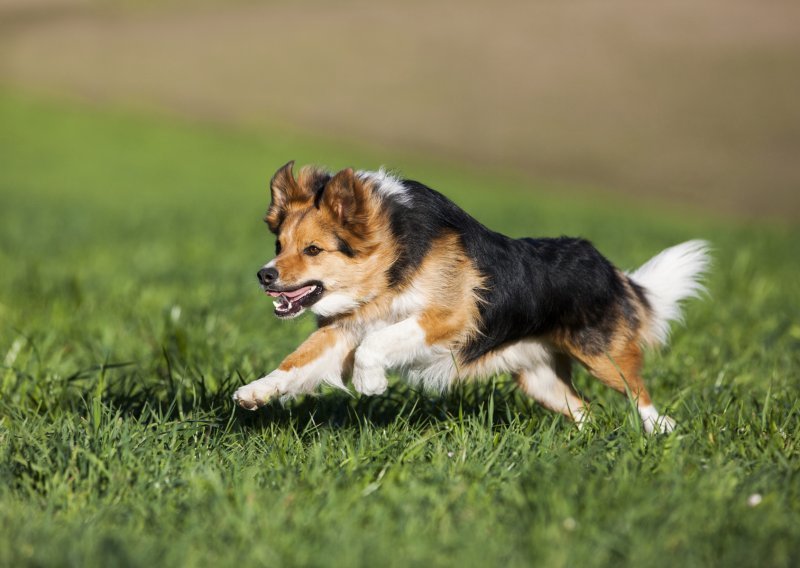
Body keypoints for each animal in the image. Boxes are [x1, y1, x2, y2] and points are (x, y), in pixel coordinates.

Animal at [234, 162, 708, 432]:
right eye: (279, 245)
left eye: (313, 250)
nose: (264, 275)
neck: (394, 258)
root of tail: (610, 268)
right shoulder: (344, 329)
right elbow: (296, 363)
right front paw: (254, 393)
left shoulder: (449, 317)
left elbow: (378, 343)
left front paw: (372, 383)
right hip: (539, 379)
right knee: (584, 409)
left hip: (602, 357)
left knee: (639, 393)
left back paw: (660, 432)